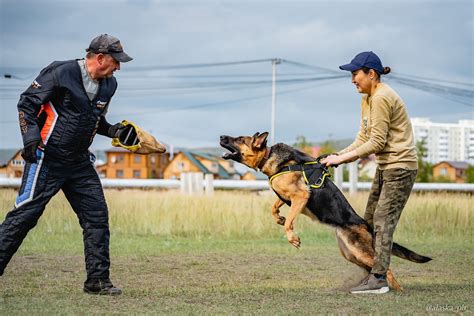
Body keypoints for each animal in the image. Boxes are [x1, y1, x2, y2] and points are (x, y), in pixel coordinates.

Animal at [220, 131, 432, 292]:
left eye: (240, 139)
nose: (221, 136)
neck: (269, 156)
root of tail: (365, 225)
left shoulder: (300, 196)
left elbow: (289, 221)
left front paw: (292, 237)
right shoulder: (288, 197)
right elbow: (274, 207)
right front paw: (278, 218)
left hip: (358, 251)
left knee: (386, 269)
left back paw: (396, 289)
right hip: (351, 253)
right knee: (373, 267)